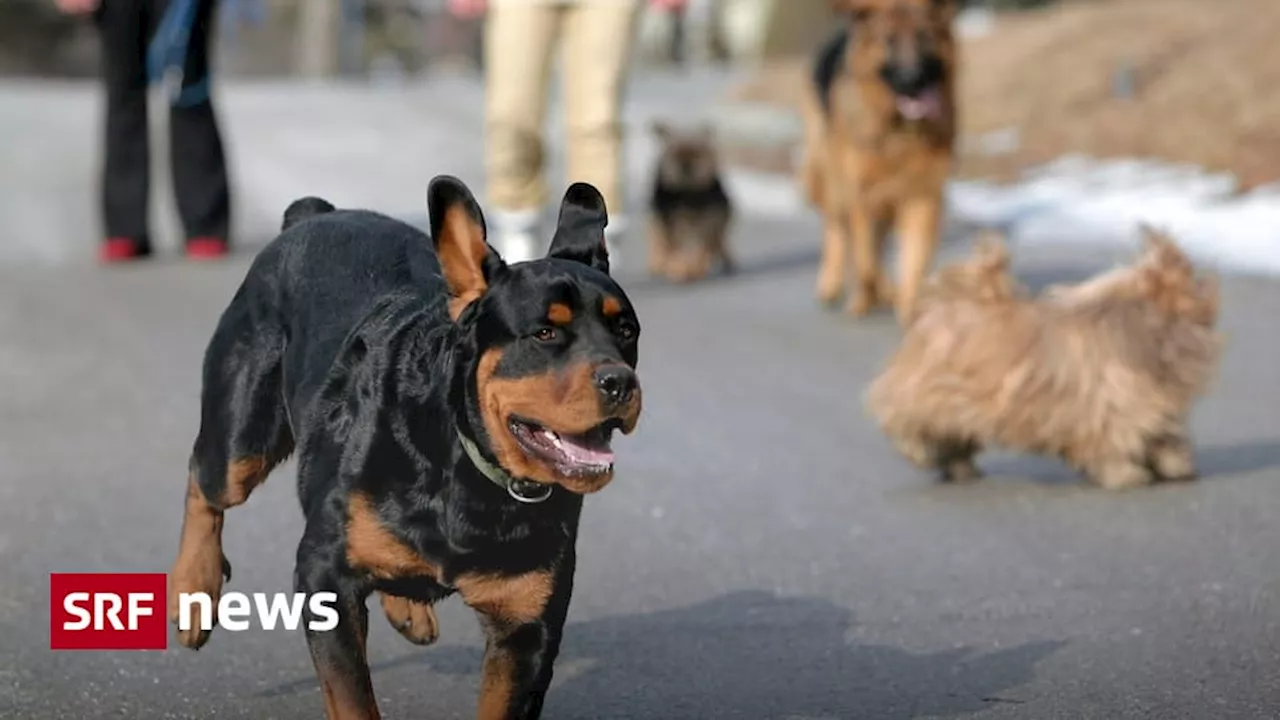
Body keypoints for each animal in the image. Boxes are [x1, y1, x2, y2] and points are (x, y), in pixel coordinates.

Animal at [170, 175, 645, 717]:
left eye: (626, 331)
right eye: (545, 333)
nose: (620, 382)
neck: (465, 460)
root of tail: (315, 214)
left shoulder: (527, 626)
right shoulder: (324, 577)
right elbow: (353, 698)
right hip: (242, 433)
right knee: (206, 481)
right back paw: (193, 589)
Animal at [645, 120, 737, 280]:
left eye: (697, 153)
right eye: (675, 154)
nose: (685, 166)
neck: (689, 192)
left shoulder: (709, 219)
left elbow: (702, 246)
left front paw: (697, 267)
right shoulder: (671, 221)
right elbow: (675, 248)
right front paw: (678, 269)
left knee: (717, 239)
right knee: (659, 238)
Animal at [793, 0, 957, 322]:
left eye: (924, 37)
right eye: (889, 41)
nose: (912, 79)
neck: (899, 130)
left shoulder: (921, 196)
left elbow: (913, 258)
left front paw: (909, 308)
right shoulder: (860, 194)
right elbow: (864, 256)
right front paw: (863, 300)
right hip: (833, 181)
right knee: (838, 231)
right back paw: (835, 285)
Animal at [865, 226, 1223, 489]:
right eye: (1191, 276)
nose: (1210, 285)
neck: (1141, 322)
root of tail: (946, 303)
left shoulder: (1150, 402)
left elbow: (1164, 434)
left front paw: (1175, 464)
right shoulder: (1111, 404)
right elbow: (1114, 440)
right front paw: (1125, 474)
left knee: (954, 440)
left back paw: (960, 466)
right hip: (929, 392)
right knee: (909, 422)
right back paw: (922, 451)